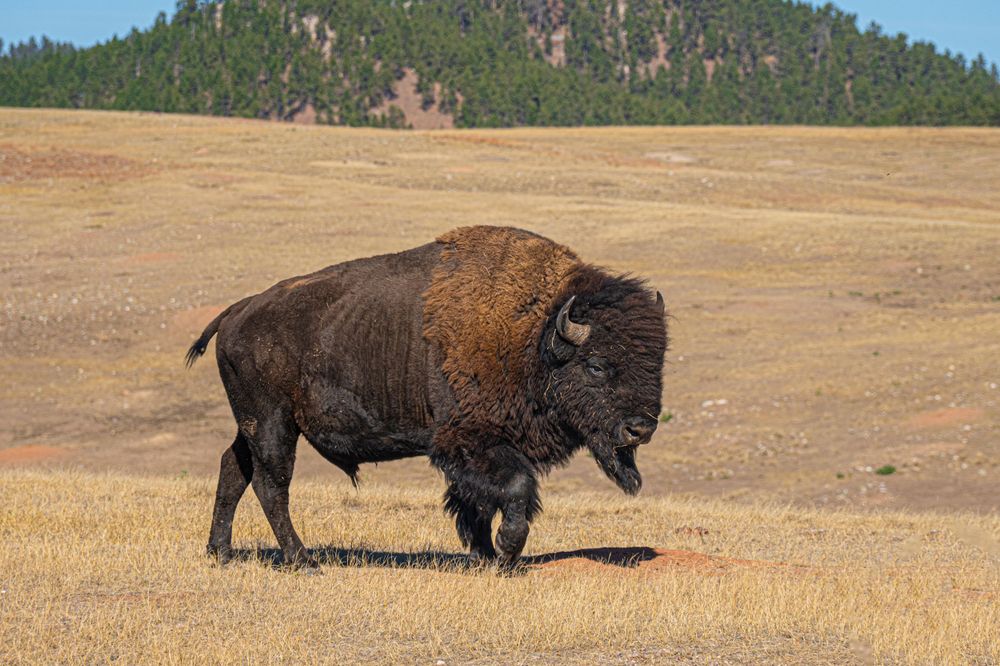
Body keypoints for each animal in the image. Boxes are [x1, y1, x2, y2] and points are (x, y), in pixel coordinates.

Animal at [186, 226, 667, 568]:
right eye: (597, 365)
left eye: (657, 363)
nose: (640, 428)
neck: (535, 335)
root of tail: (237, 311)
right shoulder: (470, 441)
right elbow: (513, 487)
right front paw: (506, 552)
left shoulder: (473, 454)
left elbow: (476, 501)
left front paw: (484, 556)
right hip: (273, 423)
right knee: (271, 484)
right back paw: (302, 560)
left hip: (253, 425)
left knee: (233, 469)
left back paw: (221, 553)